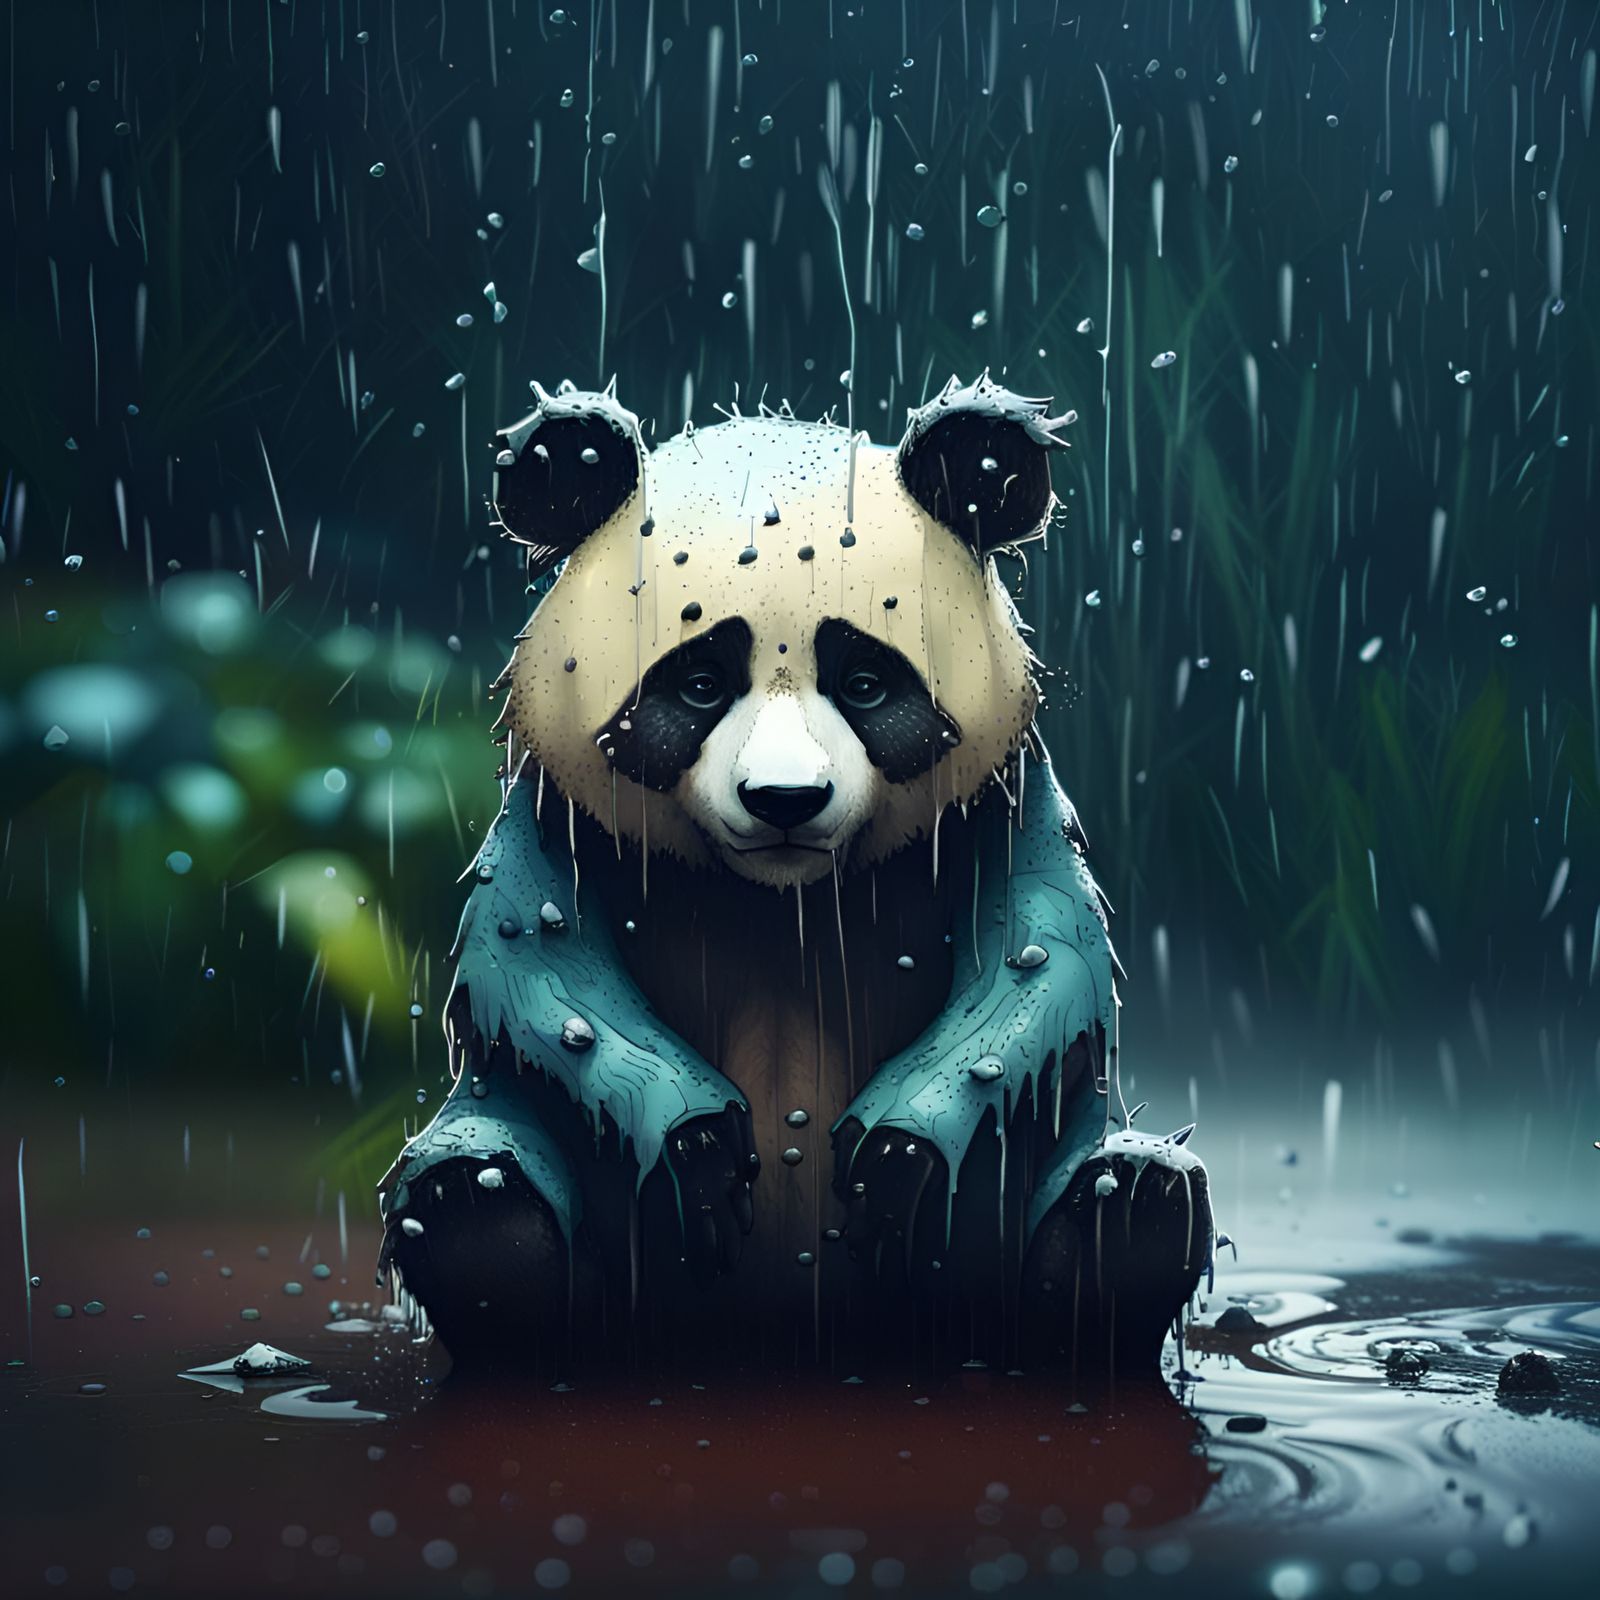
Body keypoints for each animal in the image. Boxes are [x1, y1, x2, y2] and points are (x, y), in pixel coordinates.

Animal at [377, 374, 1211, 1377]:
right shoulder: (557, 815)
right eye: (699, 685)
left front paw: (894, 1162)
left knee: (1130, 1191)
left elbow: (1041, 963)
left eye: (866, 684)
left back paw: (1100, 1266)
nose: (785, 800)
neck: (787, 899)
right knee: (467, 1188)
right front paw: (698, 1149)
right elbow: (541, 974)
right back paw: (511, 1289)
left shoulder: (999, 803)